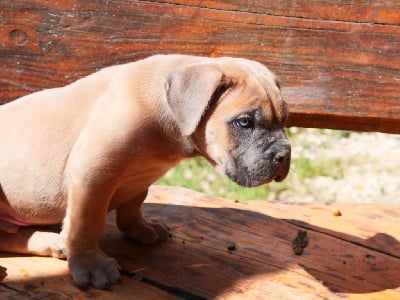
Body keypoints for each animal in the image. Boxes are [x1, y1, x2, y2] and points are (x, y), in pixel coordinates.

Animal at [0, 54, 290, 288]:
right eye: (244, 123)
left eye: (285, 119)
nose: (284, 154)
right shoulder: (93, 174)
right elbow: (87, 223)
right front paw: (91, 264)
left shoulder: (139, 178)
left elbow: (135, 202)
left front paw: (141, 228)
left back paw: (52, 242)